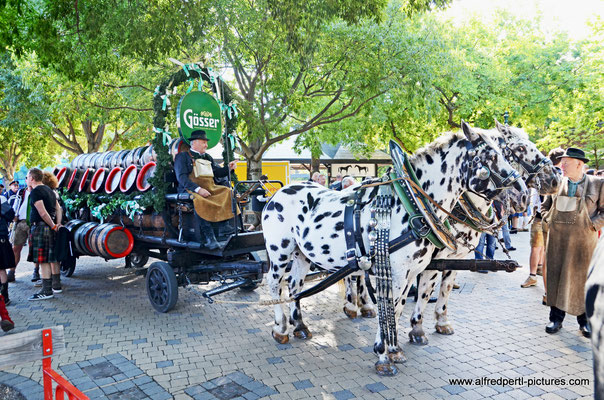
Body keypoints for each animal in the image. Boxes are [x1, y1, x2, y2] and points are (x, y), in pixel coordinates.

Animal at [262, 121, 528, 376]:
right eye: (491, 156)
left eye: (506, 153)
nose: (523, 194)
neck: (412, 203)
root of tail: (276, 194)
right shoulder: (396, 273)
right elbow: (390, 308)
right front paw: (382, 355)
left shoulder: (412, 273)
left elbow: (399, 308)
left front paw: (395, 349)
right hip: (279, 252)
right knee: (275, 285)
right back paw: (281, 328)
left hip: (301, 254)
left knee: (295, 286)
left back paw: (300, 326)